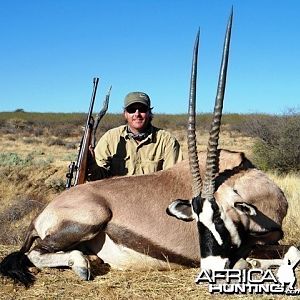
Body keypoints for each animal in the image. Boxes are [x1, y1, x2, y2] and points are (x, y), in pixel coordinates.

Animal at [0, 12, 290, 288]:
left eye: (219, 219)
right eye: (199, 222)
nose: (211, 268)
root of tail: (43, 213)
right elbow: (251, 260)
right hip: (93, 217)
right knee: (34, 252)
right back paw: (82, 265)